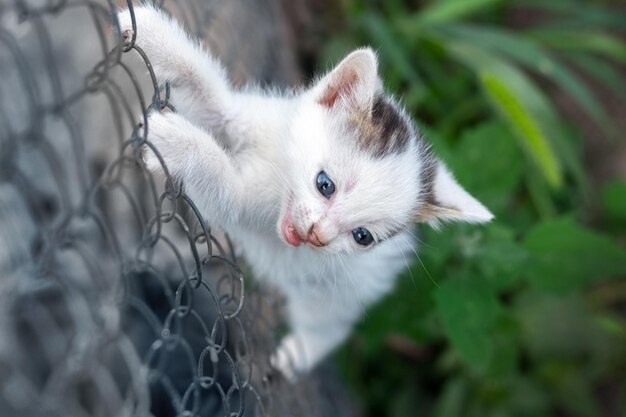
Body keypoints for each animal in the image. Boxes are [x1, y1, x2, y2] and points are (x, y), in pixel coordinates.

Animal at [117, 4, 492, 380]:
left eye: (362, 237)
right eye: (325, 184)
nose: (317, 235)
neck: (279, 165)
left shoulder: (237, 202)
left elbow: (220, 179)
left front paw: (173, 139)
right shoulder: (246, 119)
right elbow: (210, 97)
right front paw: (151, 32)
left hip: (337, 295)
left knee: (328, 324)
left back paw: (302, 351)